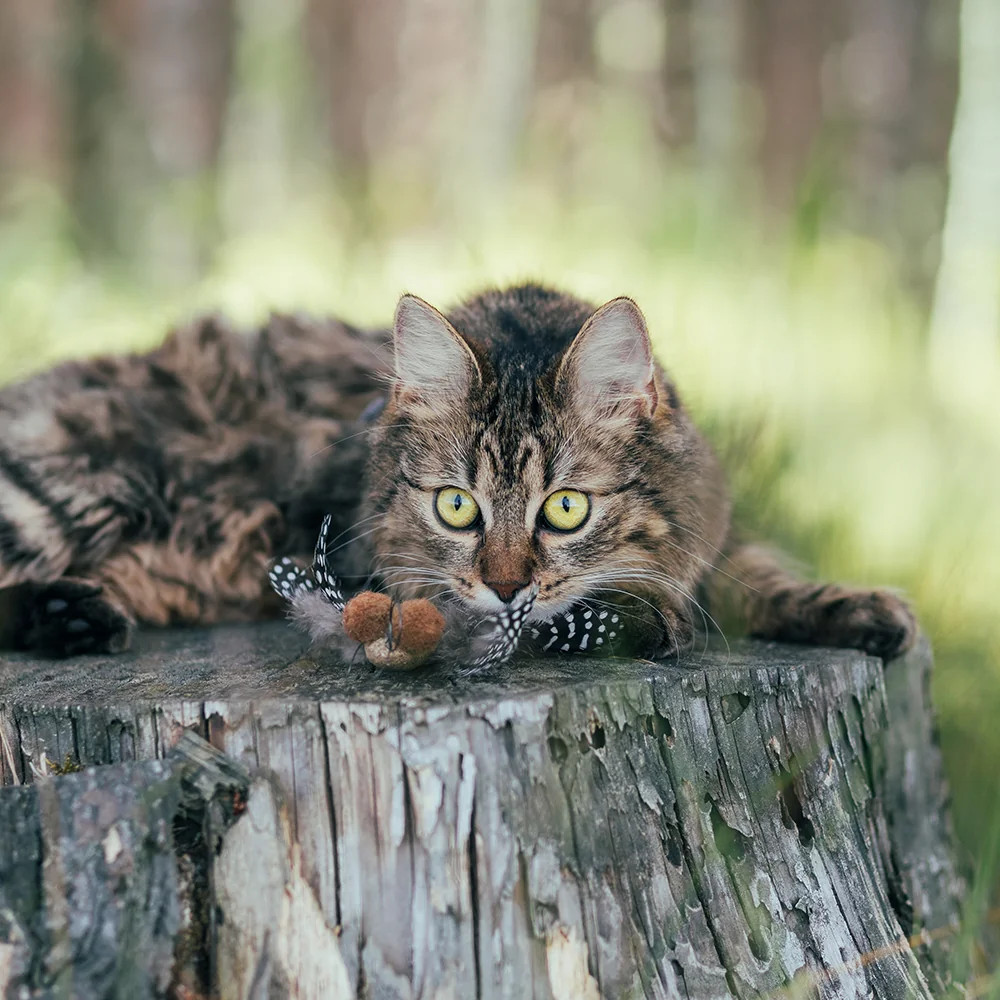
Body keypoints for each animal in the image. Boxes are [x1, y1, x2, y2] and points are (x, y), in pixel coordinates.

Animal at [0, 282, 916, 660]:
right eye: (455, 508)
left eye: (566, 509)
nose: (508, 586)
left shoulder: (717, 536)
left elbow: (760, 575)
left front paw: (862, 613)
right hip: (68, 495)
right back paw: (68, 616)